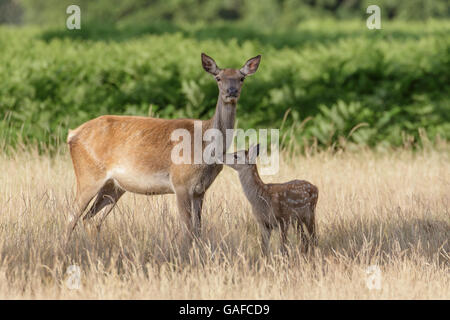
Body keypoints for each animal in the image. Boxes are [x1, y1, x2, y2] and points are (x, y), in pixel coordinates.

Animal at [65, 53, 262, 242]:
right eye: (218, 78)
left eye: (241, 78)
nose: (231, 91)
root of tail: (72, 134)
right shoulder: (180, 183)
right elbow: (187, 231)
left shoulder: (200, 190)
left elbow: (198, 231)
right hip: (88, 175)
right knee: (71, 217)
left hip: (113, 187)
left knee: (90, 220)